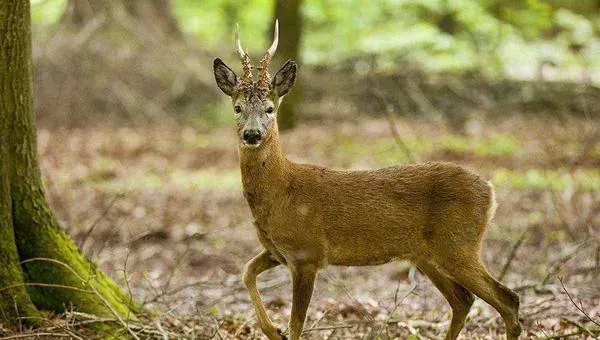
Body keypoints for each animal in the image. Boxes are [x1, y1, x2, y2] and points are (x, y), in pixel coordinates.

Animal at [213, 21, 524, 340]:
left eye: (270, 109)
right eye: (237, 108)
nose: (252, 134)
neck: (281, 191)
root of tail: (490, 191)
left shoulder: (306, 253)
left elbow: (297, 324)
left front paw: (281, 329)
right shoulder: (276, 251)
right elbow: (246, 272)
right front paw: (273, 329)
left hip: (458, 243)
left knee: (508, 298)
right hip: (427, 254)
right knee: (463, 300)